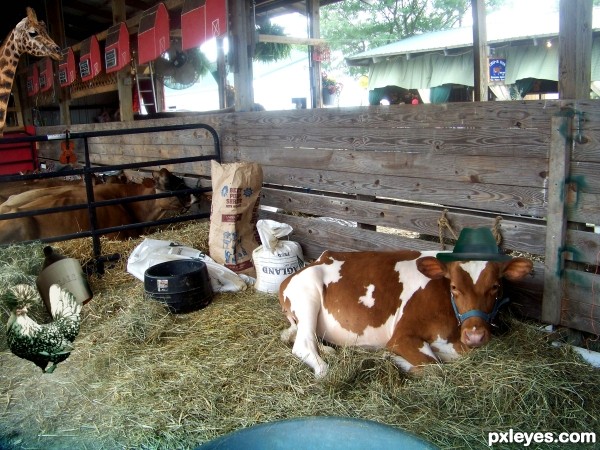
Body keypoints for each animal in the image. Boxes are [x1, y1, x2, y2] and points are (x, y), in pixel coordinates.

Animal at [278, 227, 532, 378]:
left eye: (496, 286)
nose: (475, 335)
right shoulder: (402, 336)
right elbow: (433, 368)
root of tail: (314, 262)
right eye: (454, 287)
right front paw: (394, 359)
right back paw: (325, 369)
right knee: (304, 344)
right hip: (307, 295)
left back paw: (328, 351)